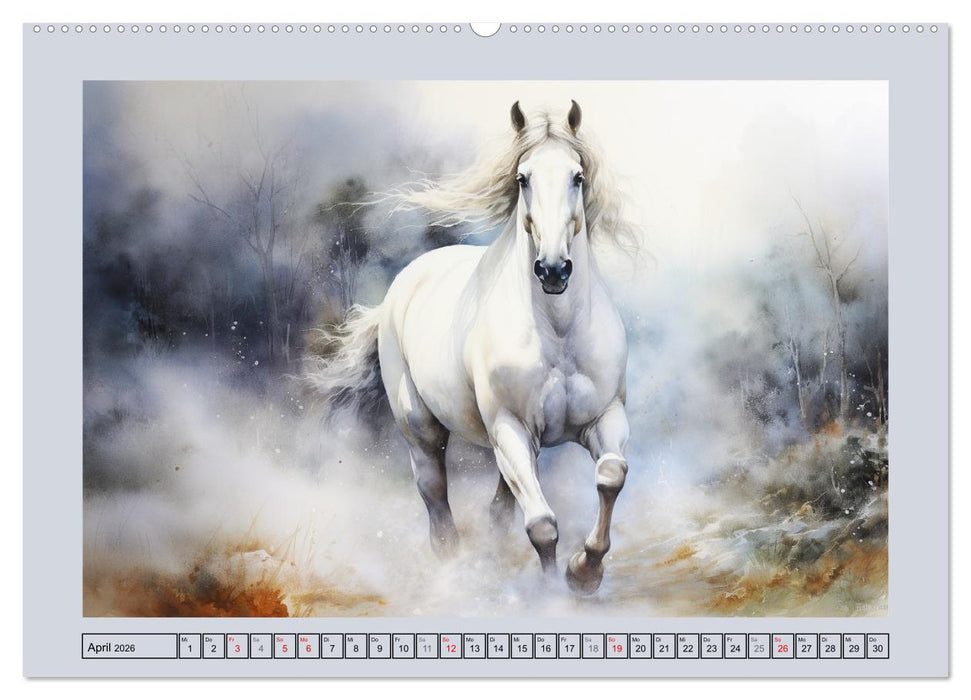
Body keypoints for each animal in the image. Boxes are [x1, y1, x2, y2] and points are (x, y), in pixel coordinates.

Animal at [308, 101, 634, 594]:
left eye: (577, 176)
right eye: (523, 178)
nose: (553, 270)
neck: (558, 333)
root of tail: (404, 283)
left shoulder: (604, 416)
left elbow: (611, 475)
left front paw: (585, 570)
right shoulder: (509, 427)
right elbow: (542, 525)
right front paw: (557, 591)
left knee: (500, 504)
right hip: (422, 429)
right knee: (435, 494)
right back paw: (452, 564)